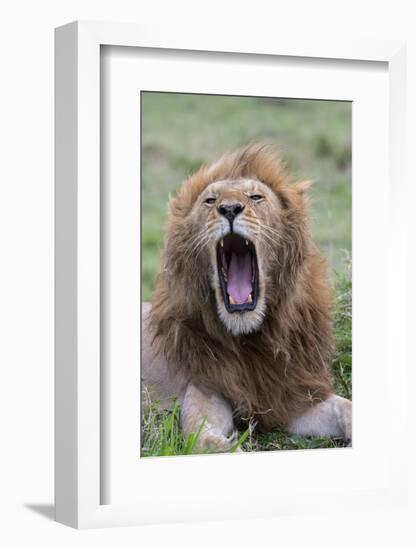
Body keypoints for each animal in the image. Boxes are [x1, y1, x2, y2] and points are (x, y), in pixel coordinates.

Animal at [142, 143, 352, 452]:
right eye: (210, 200)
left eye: (256, 197)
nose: (229, 208)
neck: (251, 340)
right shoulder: (203, 390)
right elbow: (210, 442)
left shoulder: (289, 396)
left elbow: (346, 406)